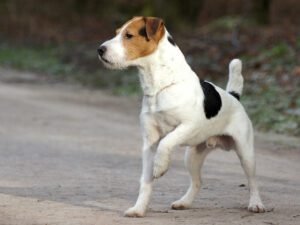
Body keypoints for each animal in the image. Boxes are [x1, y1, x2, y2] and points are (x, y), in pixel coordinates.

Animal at [96, 16, 264, 217]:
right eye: (116, 33)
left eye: (129, 35)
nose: (100, 50)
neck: (159, 86)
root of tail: (233, 96)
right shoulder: (149, 142)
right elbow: (146, 181)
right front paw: (139, 209)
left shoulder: (188, 126)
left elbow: (166, 142)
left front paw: (160, 167)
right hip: (192, 156)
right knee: (198, 182)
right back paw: (184, 202)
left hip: (245, 153)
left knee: (253, 181)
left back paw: (256, 204)